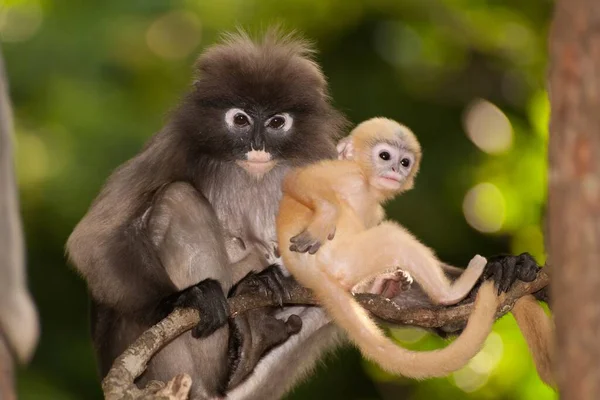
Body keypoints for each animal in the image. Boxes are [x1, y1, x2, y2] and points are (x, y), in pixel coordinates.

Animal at [274, 118, 500, 378]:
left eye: (404, 162)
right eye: (384, 156)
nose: (395, 170)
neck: (365, 183)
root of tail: (311, 275)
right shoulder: (345, 174)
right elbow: (295, 180)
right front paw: (324, 218)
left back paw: (384, 286)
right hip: (339, 257)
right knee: (392, 237)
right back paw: (451, 293)